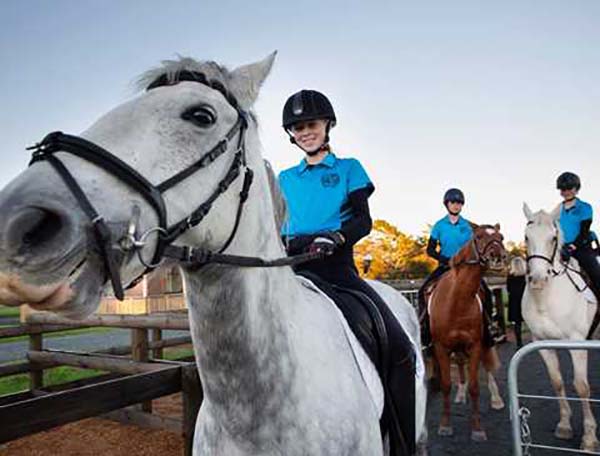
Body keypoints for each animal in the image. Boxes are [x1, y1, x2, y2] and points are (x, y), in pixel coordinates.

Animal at [428, 224, 508, 442]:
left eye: (501, 237)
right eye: (478, 236)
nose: (498, 256)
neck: (457, 301)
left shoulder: (475, 345)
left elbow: (475, 387)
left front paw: (477, 428)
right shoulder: (441, 347)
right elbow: (446, 384)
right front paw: (445, 425)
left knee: (487, 366)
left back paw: (496, 399)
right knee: (460, 363)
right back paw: (460, 394)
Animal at [524, 204, 596, 452]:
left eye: (553, 238)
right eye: (526, 237)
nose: (537, 280)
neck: (546, 300)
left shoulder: (577, 344)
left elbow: (582, 386)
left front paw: (589, 438)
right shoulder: (542, 344)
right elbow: (556, 382)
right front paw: (564, 425)